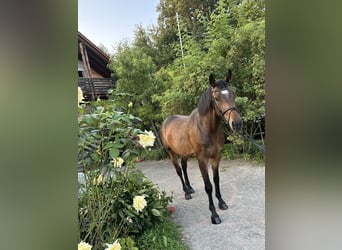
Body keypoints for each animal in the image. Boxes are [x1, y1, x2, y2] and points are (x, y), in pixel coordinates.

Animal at [161, 69, 243, 224]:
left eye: (233, 93)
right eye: (216, 98)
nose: (236, 124)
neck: (207, 129)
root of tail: (165, 121)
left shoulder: (216, 157)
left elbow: (216, 180)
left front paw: (222, 203)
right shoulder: (202, 160)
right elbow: (208, 186)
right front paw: (214, 215)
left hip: (185, 154)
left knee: (184, 167)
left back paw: (190, 188)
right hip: (171, 153)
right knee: (179, 171)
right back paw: (186, 193)